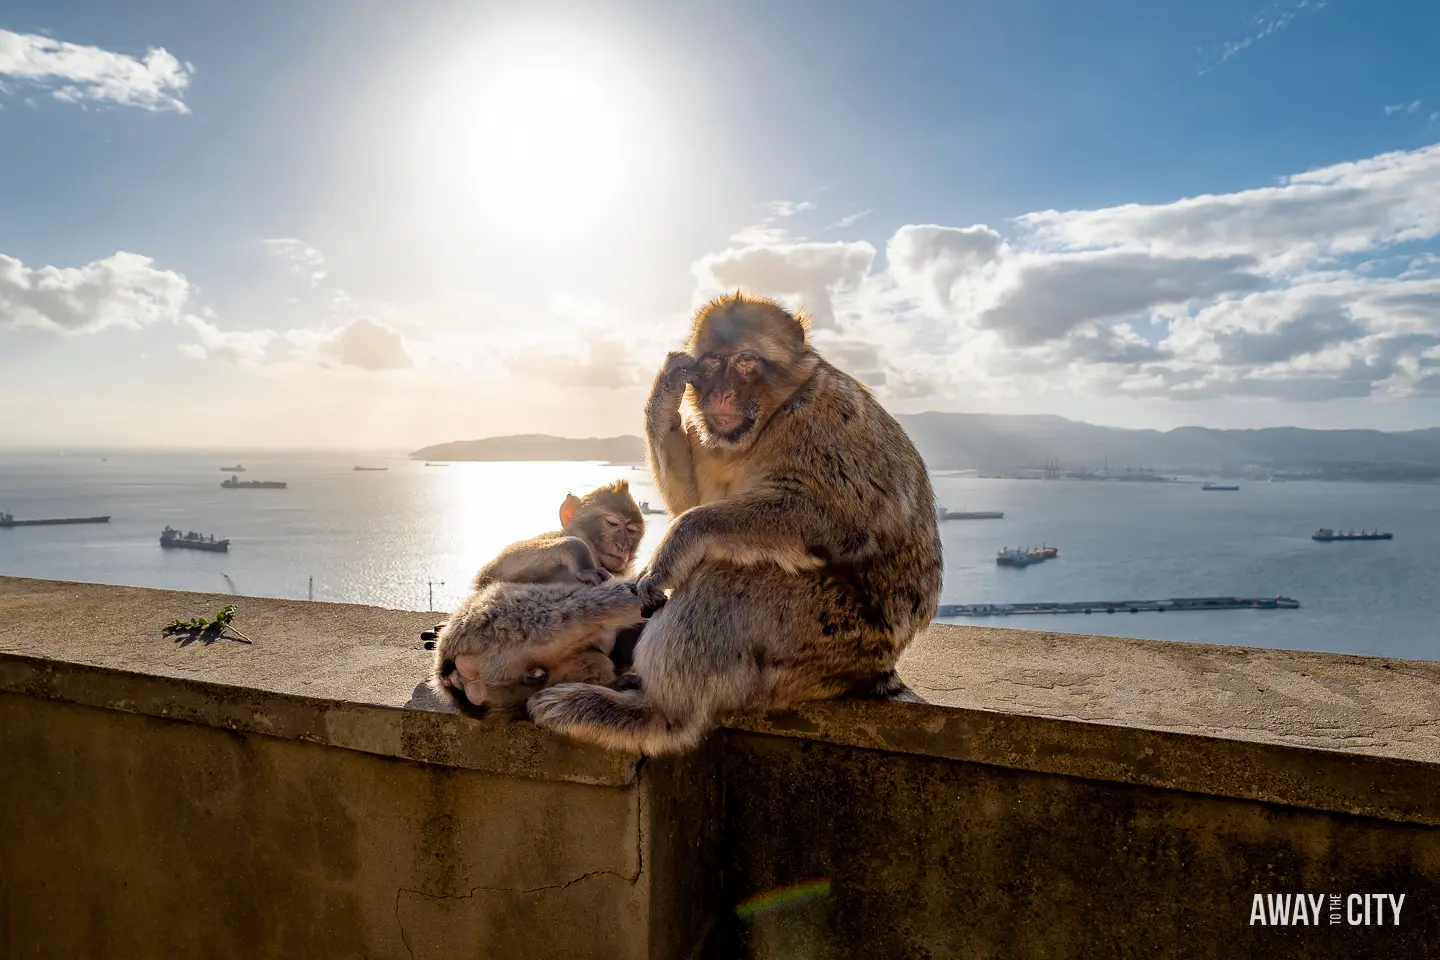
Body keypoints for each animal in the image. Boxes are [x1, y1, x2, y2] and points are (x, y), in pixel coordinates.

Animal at [429, 480, 649, 716]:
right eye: (612, 523)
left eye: (632, 531)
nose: (622, 546)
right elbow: (493, 573)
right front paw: (582, 561)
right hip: (492, 621)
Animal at [527, 292, 943, 754]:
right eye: (711, 362)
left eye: (745, 361)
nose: (722, 393)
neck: (772, 416)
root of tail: (881, 668)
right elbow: (696, 500)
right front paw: (665, 392)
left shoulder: (821, 423)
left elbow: (828, 518)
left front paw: (674, 546)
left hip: (834, 636)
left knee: (724, 576)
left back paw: (653, 715)